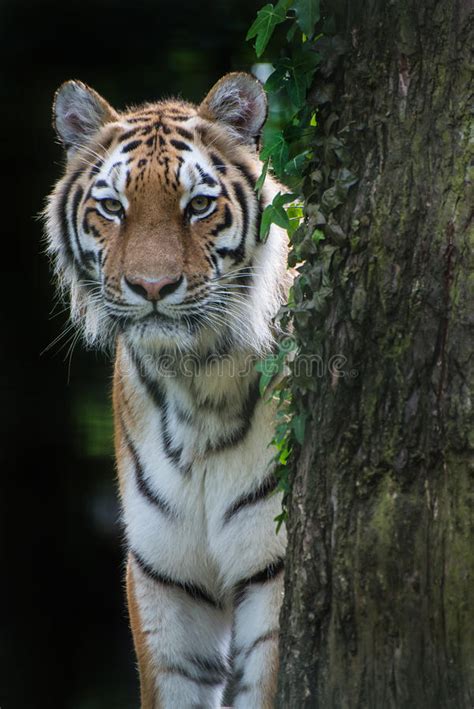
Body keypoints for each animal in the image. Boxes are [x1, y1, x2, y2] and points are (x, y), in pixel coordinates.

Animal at [43, 73, 292, 708]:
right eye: (113, 207)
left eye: (198, 205)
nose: (152, 287)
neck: (195, 378)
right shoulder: (165, 579)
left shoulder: (272, 569)